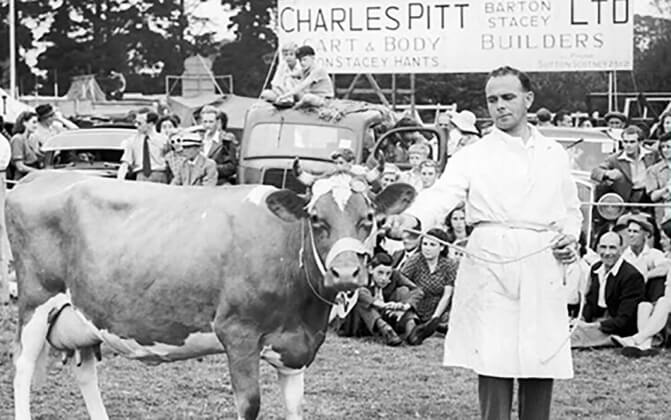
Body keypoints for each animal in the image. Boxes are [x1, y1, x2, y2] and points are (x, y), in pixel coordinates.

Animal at [7, 170, 416, 420]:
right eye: (316, 218)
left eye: (369, 218)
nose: (345, 272)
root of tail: (41, 175)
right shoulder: (239, 334)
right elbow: (250, 404)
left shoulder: (295, 349)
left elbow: (296, 407)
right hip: (36, 300)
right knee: (22, 367)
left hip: (85, 315)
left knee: (85, 373)